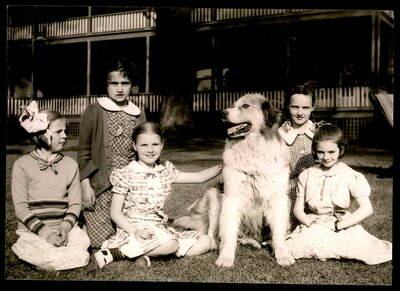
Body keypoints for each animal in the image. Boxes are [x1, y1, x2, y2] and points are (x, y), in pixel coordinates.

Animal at [174, 94, 294, 268]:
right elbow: (229, 233)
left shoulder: (277, 198)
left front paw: (282, 255)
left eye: (245, 106)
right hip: (214, 197)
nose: (223, 113)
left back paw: (253, 242)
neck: (252, 149)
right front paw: (225, 257)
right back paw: (216, 243)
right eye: (232, 105)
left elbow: (278, 233)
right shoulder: (232, 197)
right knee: (213, 231)